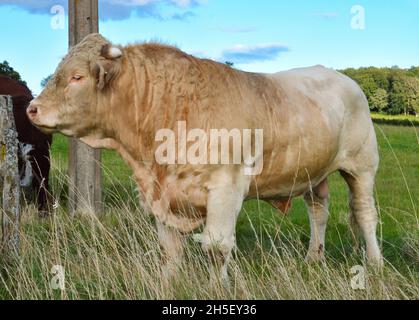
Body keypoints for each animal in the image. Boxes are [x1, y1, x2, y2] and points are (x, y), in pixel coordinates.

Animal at [27, 33, 386, 282]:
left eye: (77, 77)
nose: (33, 108)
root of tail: (340, 76)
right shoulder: (162, 192)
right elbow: (170, 248)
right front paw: (169, 281)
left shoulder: (226, 187)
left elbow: (216, 247)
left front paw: (217, 286)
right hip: (313, 173)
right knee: (318, 213)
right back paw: (314, 257)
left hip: (362, 165)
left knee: (365, 214)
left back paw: (375, 262)